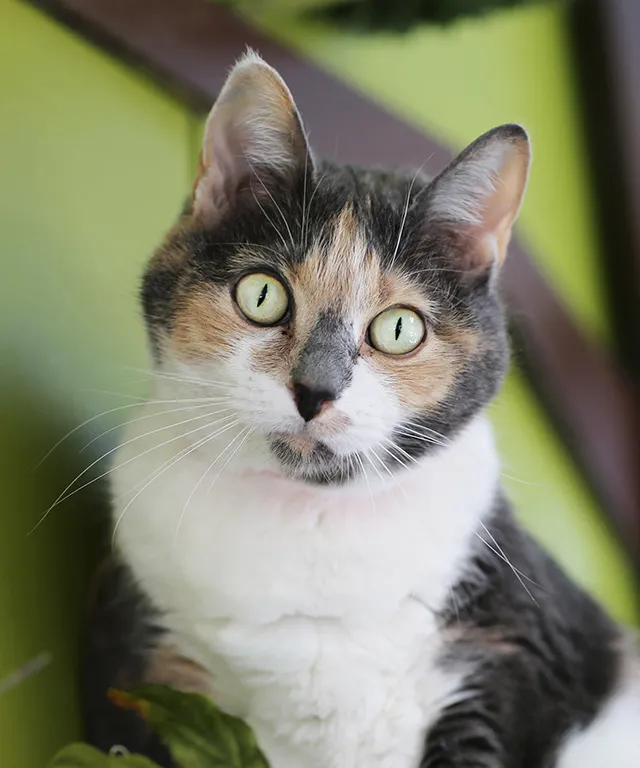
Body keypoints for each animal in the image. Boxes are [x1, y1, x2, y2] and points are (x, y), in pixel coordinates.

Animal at [82, 51, 636, 764]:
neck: (309, 519)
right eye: (261, 295)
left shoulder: (515, 654)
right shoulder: (136, 669)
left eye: (398, 329)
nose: (314, 390)